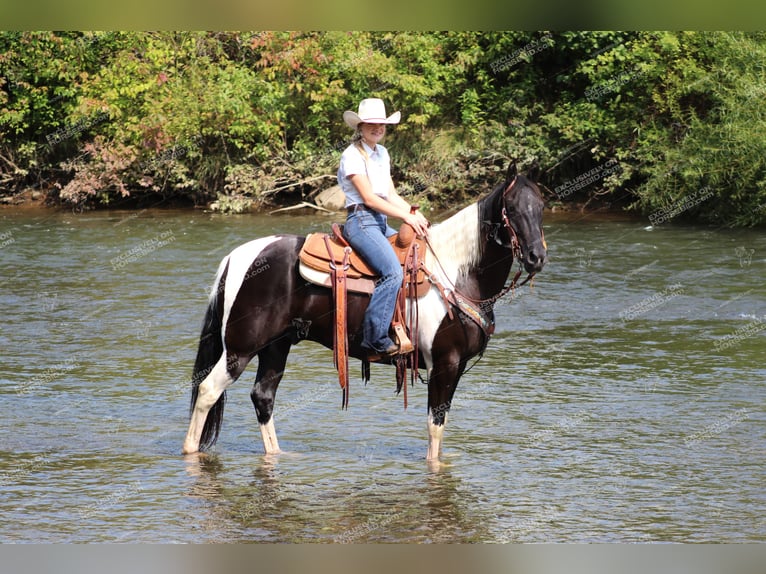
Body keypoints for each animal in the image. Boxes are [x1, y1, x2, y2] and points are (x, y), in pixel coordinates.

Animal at [184, 162, 544, 464]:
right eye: (512, 209)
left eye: (540, 206)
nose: (536, 257)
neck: (457, 273)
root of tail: (236, 257)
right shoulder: (445, 363)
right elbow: (434, 426)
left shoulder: (453, 367)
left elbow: (440, 426)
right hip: (241, 348)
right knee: (208, 391)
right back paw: (190, 451)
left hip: (276, 346)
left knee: (263, 397)